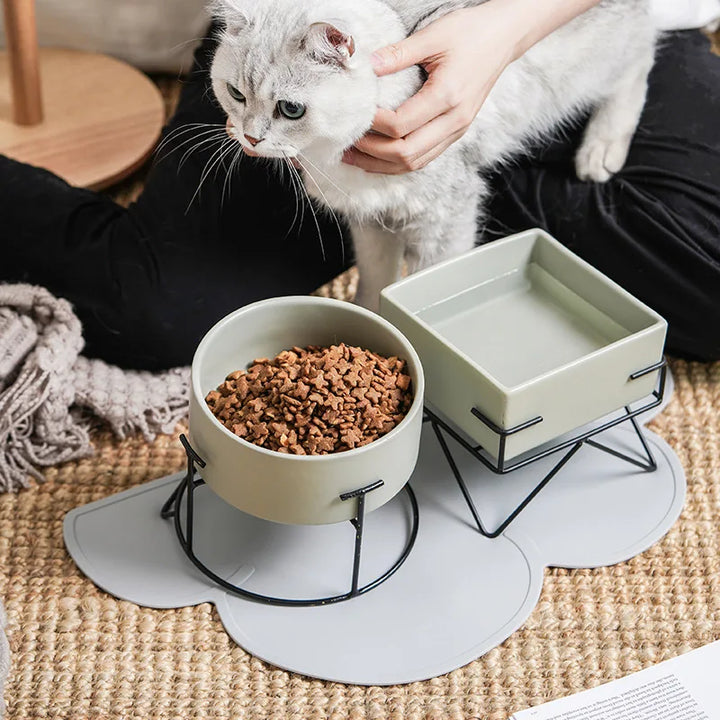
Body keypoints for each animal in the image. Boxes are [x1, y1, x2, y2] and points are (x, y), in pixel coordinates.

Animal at [210, 0, 660, 310]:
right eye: (235, 94)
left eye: (290, 109)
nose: (249, 138)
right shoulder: (370, 222)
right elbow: (375, 281)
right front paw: (368, 320)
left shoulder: (445, 219)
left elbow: (423, 284)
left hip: (594, 66)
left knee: (642, 58)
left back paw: (602, 148)